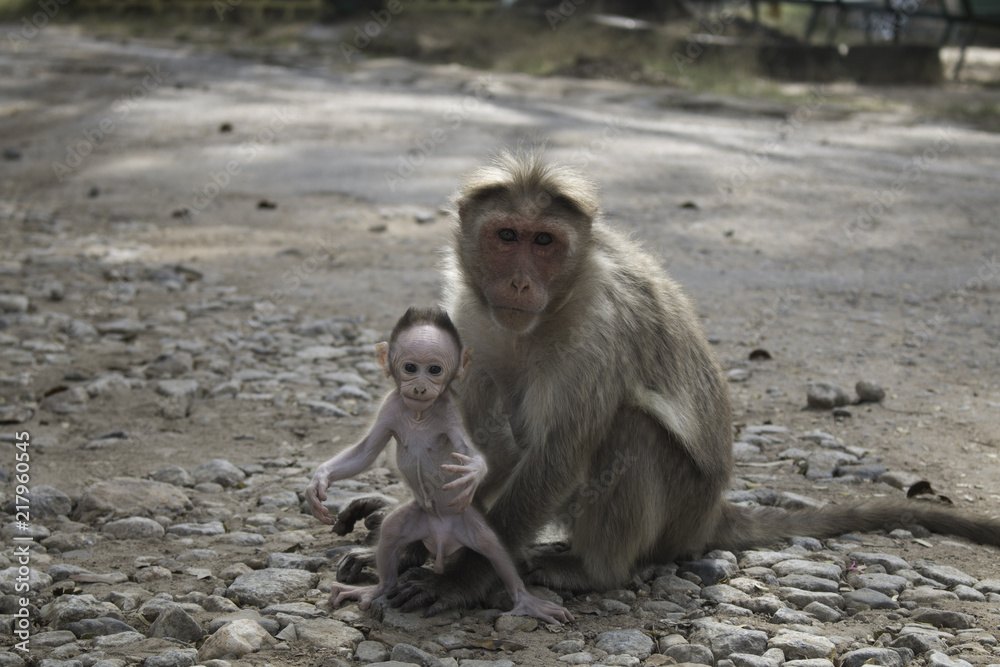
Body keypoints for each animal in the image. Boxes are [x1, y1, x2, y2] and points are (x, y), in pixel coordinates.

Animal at [304, 306, 574, 625]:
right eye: (410, 367)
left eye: (435, 370)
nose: (420, 387)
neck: (419, 416)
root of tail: (442, 542)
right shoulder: (390, 407)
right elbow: (366, 452)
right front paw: (319, 482)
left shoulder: (449, 413)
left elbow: (474, 452)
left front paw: (473, 472)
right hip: (415, 521)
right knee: (391, 534)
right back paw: (376, 588)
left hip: (470, 526)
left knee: (494, 548)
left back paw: (524, 599)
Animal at [350, 147, 1000, 616]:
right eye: (507, 236)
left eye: (545, 242)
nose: (518, 283)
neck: (540, 319)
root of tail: (710, 513)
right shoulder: (468, 320)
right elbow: (474, 446)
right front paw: (420, 535)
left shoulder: (598, 331)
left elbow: (558, 455)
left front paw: (462, 576)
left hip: (679, 513)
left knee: (628, 430)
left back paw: (593, 571)